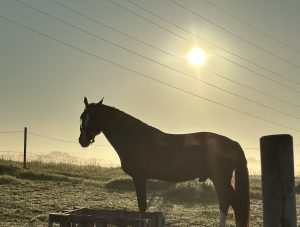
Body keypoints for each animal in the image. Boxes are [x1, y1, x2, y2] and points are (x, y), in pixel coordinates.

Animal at [78, 97, 250, 227]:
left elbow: (142, 206)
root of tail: (233, 143)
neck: (135, 137)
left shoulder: (139, 177)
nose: (82, 140)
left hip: (220, 179)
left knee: (228, 202)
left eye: (96, 117)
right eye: (82, 117)